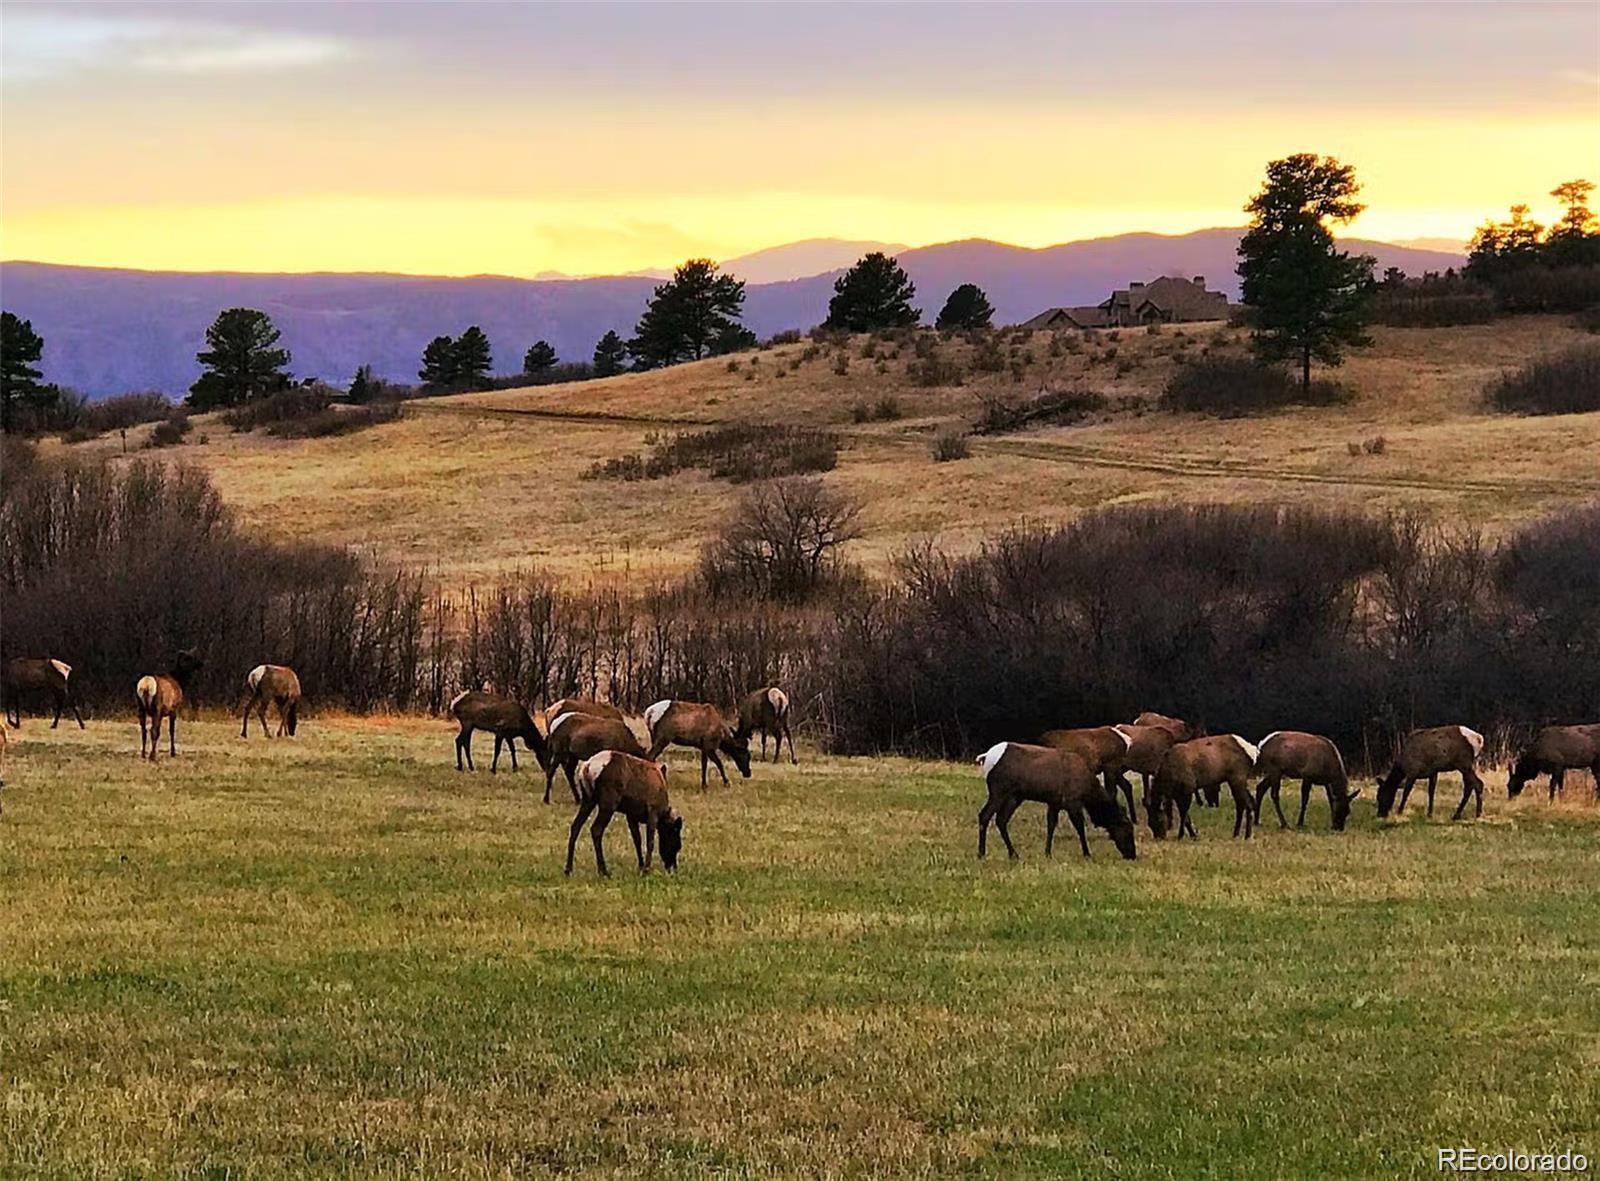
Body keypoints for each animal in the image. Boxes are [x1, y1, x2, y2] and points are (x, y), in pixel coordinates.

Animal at [976, 741, 1136, 860]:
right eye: (1128, 830)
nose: (1132, 855)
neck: (1088, 790)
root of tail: (985, 756)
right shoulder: (1072, 802)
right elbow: (1080, 827)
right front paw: (1087, 853)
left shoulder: (1054, 803)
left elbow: (1051, 826)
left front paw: (1047, 853)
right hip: (999, 790)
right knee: (984, 815)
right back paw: (981, 853)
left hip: (1014, 797)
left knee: (1001, 820)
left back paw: (1013, 854)